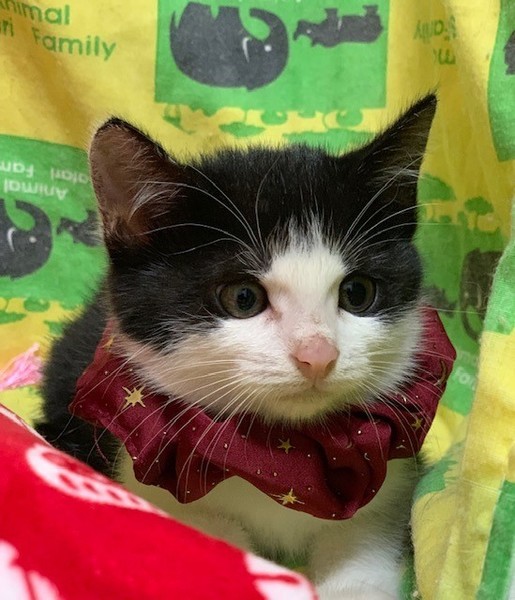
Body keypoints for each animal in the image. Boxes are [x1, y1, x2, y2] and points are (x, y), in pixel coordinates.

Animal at [37, 94, 454, 600]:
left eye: (357, 293)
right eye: (242, 298)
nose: (318, 355)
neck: (283, 459)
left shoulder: (390, 486)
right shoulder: (147, 485)